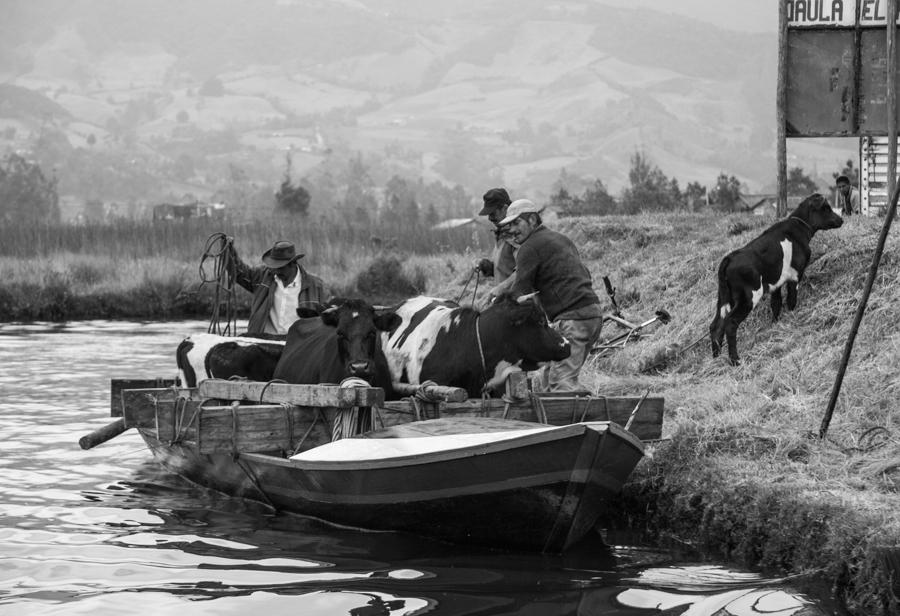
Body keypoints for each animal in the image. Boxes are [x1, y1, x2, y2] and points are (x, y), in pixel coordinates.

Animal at [712, 192, 844, 366]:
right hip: (749, 297)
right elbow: (791, 300)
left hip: (723, 299)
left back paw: (716, 358)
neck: (797, 231)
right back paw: (735, 360)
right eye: (826, 208)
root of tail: (730, 257)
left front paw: (775, 325)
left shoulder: (776, 284)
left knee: (715, 326)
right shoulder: (795, 275)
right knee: (730, 323)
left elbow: (776, 305)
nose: (841, 219)